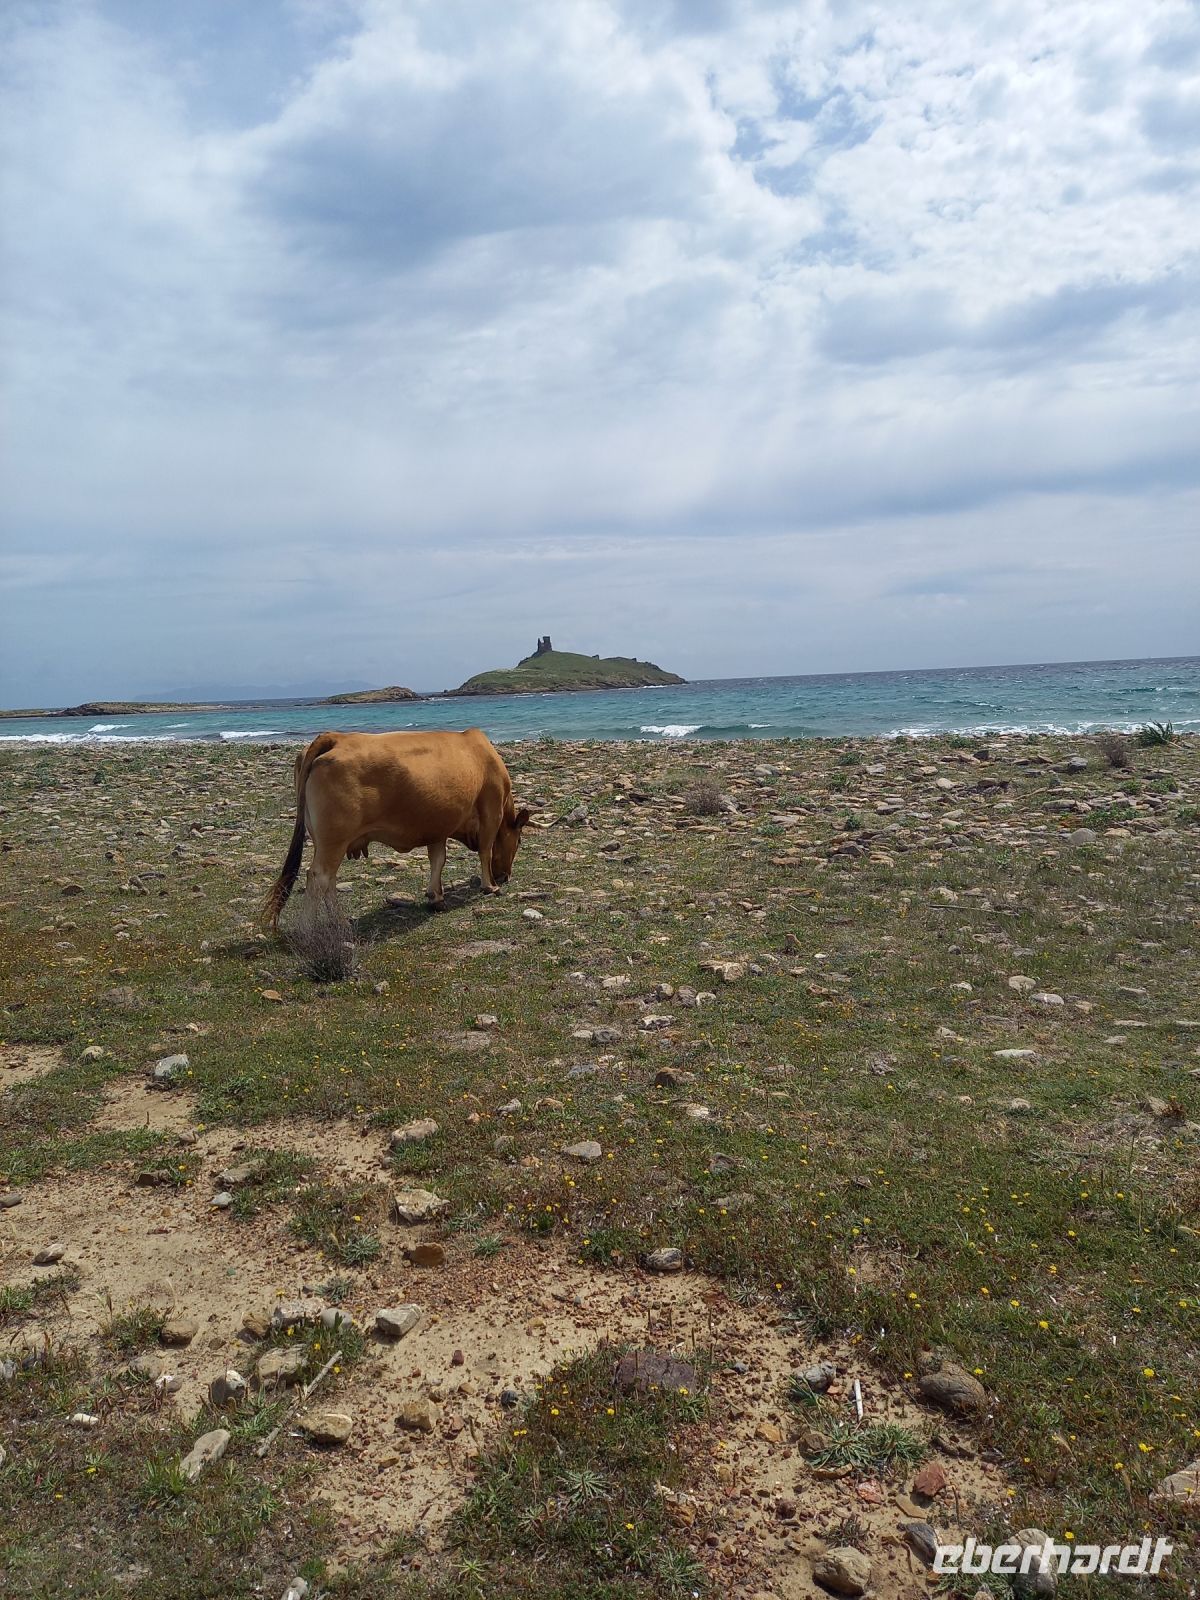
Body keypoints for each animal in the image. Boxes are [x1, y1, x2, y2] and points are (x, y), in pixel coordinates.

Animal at [261, 728, 530, 930]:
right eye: (518, 841)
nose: (504, 876)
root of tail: (335, 737)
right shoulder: (491, 810)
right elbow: (485, 850)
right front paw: (489, 886)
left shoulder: (438, 824)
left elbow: (438, 859)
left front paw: (436, 897)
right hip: (333, 838)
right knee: (319, 877)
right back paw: (307, 930)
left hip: (326, 840)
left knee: (329, 879)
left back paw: (340, 923)